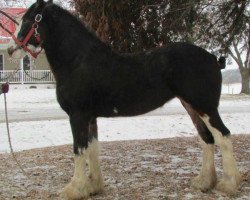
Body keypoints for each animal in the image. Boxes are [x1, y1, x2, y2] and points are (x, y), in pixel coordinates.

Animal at [7, 0, 241, 199]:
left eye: (27, 20)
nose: (10, 50)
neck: (77, 61)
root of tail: (213, 59)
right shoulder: (90, 117)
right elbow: (92, 148)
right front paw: (93, 187)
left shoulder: (78, 115)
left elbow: (79, 149)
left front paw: (74, 189)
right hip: (191, 106)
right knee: (207, 139)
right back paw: (204, 183)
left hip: (206, 107)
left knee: (223, 136)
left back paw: (229, 185)